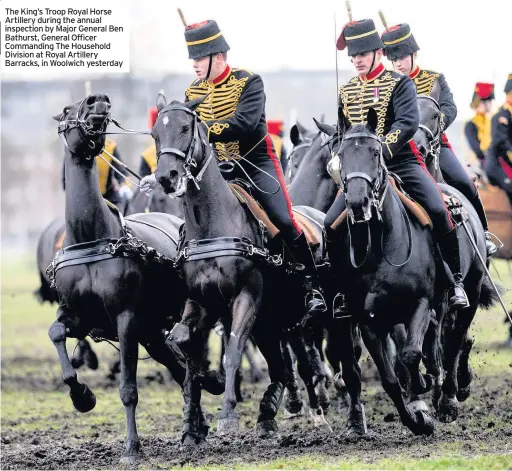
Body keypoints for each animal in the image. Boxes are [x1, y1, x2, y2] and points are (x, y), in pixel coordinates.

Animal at [48, 93, 222, 464]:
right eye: (68, 110)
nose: (97, 100)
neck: (92, 240)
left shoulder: (126, 319)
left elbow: (128, 387)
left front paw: (131, 447)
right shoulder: (79, 316)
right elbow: (56, 333)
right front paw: (82, 395)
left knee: (187, 361)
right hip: (152, 332)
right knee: (178, 365)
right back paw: (197, 422)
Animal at [153, 95, 328, 446]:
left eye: (185, 127)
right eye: (155, 134)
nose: (167, 176)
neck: (211, 225)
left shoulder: (246, 299)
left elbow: (232, 351)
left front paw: (226, 417)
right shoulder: (200, 304)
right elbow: (185, 348)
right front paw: (192, 422)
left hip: (293, 317)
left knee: (302, 363)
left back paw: (316, 412)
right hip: (270, 323)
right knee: (281, 366)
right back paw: (268, 413)